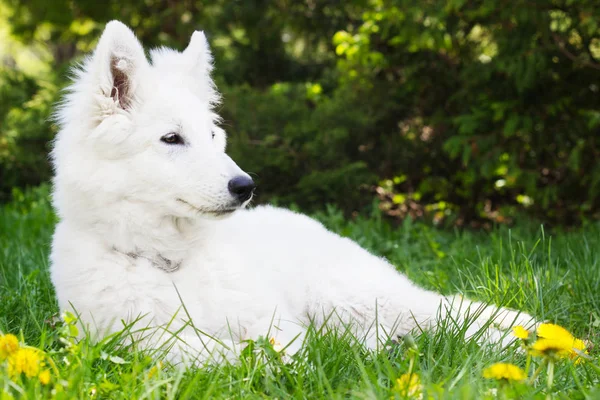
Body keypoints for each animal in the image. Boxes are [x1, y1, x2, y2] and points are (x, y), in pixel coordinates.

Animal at [49, 21, 532, 366]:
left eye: (212, 136)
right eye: (172, 138)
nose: (246, 187)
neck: (168, 261)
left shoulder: (273, 318)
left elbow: (275, 343)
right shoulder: (134, 340)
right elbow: (215, 352)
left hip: (348, 293)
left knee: (446, 313)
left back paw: (523, 336)